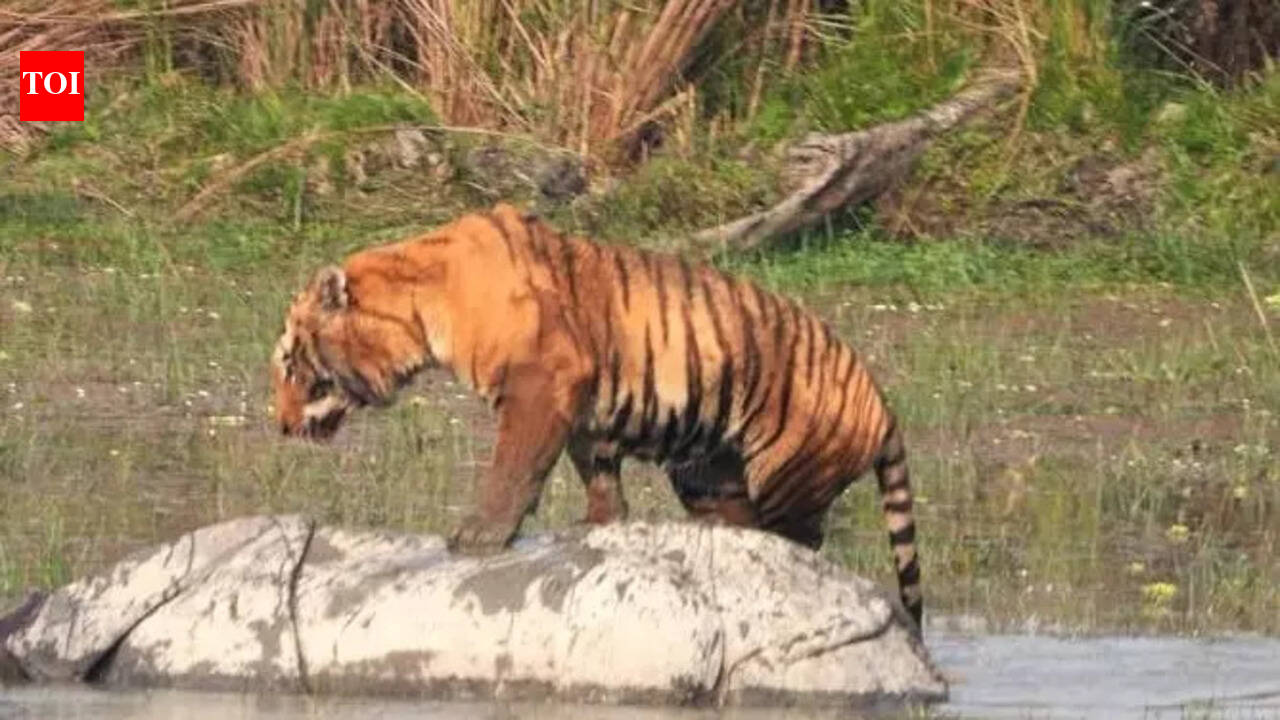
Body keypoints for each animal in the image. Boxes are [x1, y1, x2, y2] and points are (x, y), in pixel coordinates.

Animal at [270, 203, 924, 632]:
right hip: (708, 470)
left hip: (791, 471)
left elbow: (513, 468)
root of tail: (883, 400)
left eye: (290, 366)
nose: (279, 425)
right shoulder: (583, 407)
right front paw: (599, 524)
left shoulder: (541, 384)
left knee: (802, 544)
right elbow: (597, 473)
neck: (418, 308)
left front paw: (480, 536)